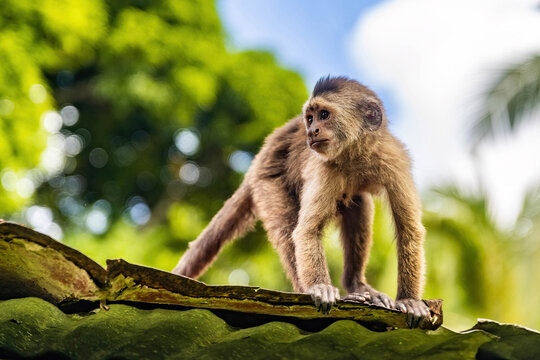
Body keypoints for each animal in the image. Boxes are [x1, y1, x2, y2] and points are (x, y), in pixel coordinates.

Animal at [171, 76, 432, 330]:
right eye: (310, 118)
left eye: (324, 115)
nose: (312, 130)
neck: (356, 154)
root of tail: (259, 158)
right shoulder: (325, 167)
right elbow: (306, 231)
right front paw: (319, 288)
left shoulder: (394, 159)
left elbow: (409, 230)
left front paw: (409, 300)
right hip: (267, 181)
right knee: (287, 227)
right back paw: (308, 290)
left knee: (359, 204)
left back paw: (356, 284)